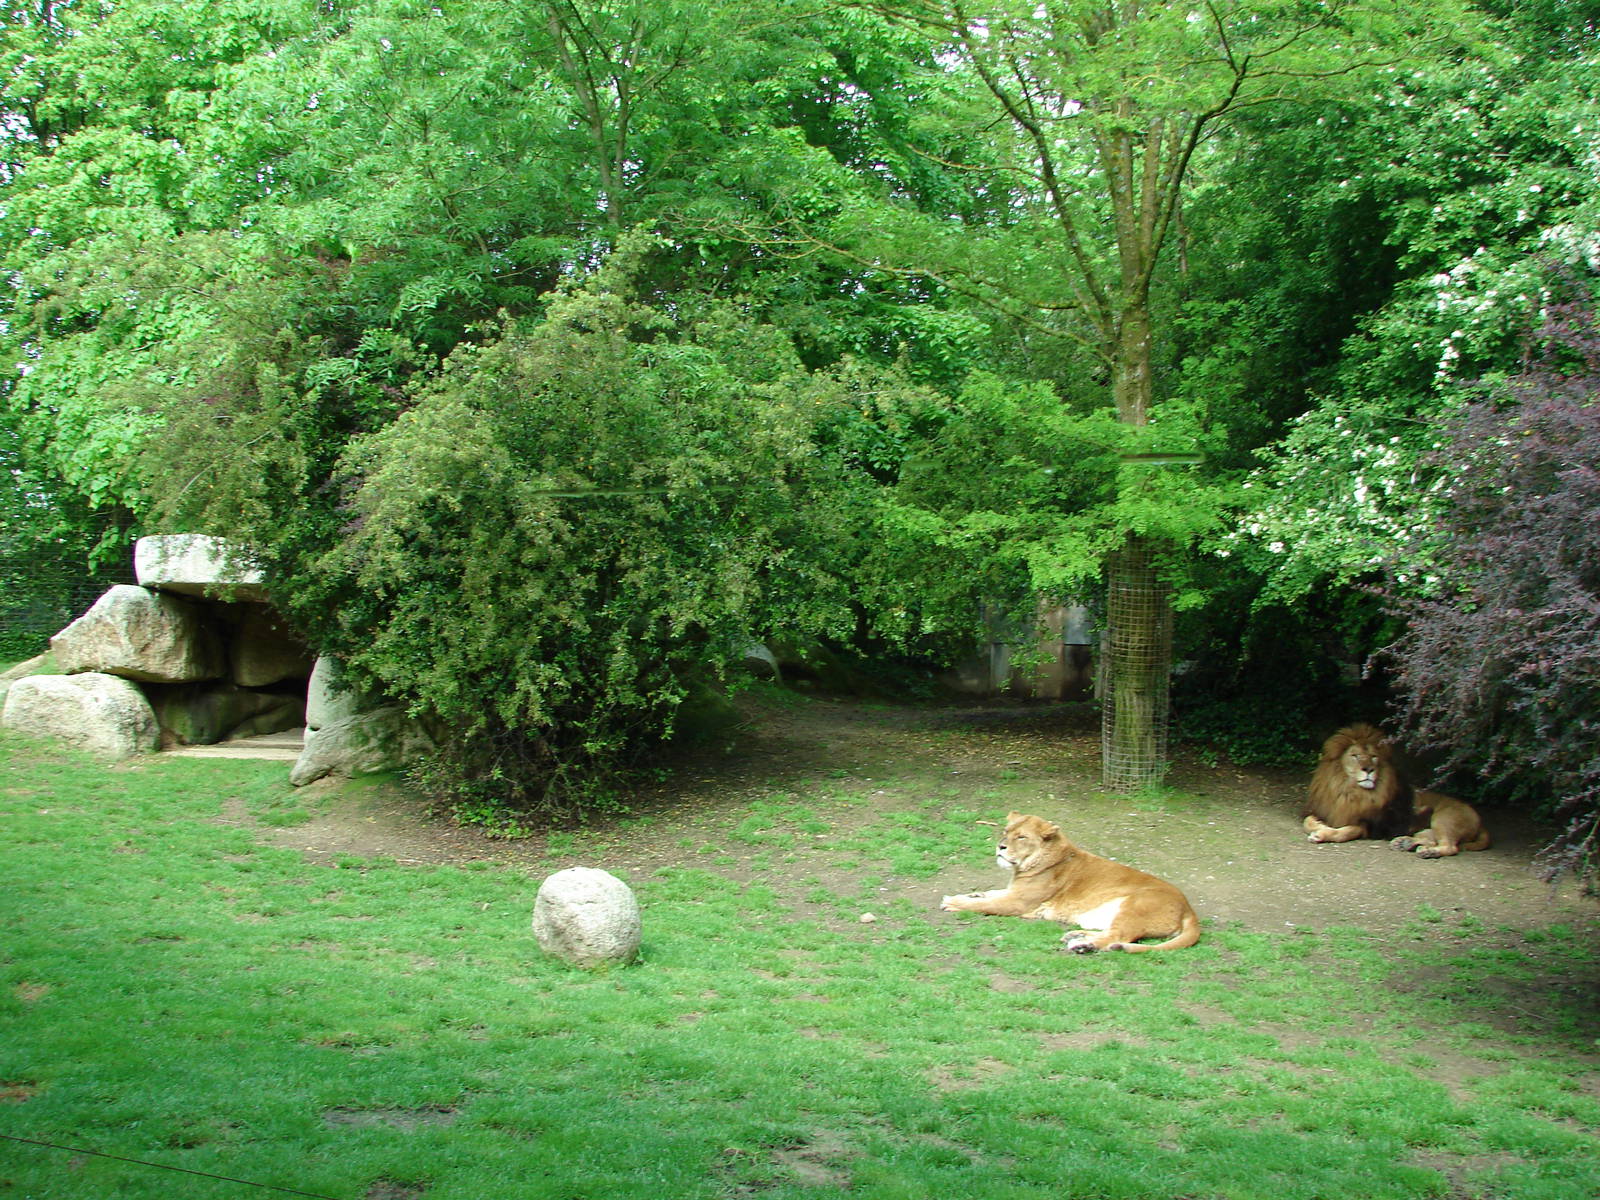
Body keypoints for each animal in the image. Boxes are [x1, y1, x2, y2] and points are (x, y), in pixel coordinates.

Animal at [940, 812, 1201, 953]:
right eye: (1005, 831)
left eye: (1021, 837)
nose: (1000, 847)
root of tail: (1189, 909)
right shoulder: (1011, 893)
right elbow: (990, 894)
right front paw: (971, 894)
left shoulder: (1018, 903)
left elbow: (985, 904)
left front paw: (952, 902)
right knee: (1111, 933)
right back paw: (1075, 937)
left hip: (1135, 905)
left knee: (1117, 937)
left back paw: (1082, 946)